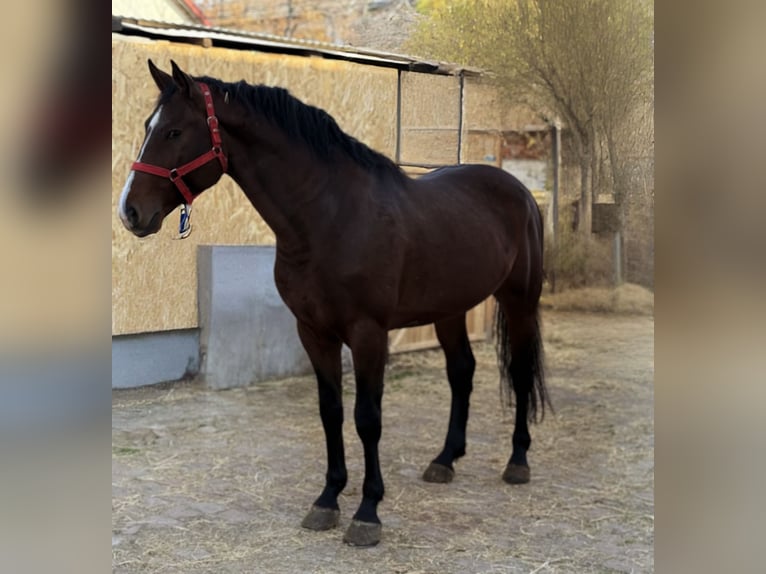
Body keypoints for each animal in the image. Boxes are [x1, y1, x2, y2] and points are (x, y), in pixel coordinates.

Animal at [118, 60, 551, 547]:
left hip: (518, 300)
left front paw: (367, 512)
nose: (130, 211)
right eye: (147, 127)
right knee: (462, 371)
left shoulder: (367, 334)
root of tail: (519, 190)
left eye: (173, 131)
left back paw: (517, 461)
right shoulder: (314, 332)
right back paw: (445, 460)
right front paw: (327, 500)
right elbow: (331, 413)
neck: (331, 217)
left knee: (519, 371)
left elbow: (367, 417)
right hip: (450, 309)